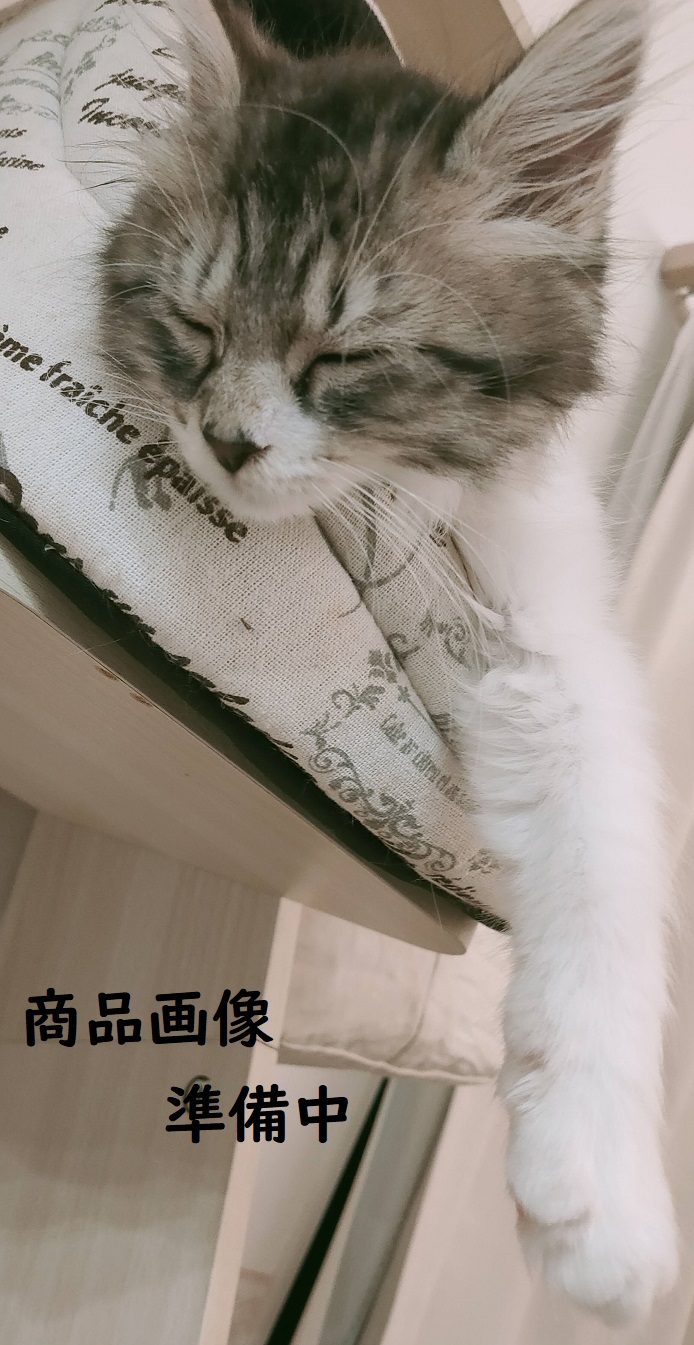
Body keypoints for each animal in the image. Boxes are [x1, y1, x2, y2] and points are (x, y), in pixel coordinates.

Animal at [99, 0, 678, 1322]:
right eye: (198, 327)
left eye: (344, 355)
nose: (225, 442)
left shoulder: (555, 637)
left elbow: (608, 874)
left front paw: (601, 1206)